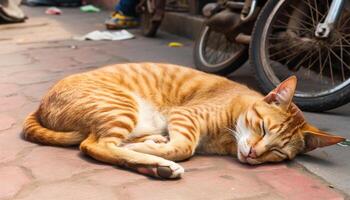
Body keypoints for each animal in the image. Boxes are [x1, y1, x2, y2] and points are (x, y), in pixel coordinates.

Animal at [23, 62, 346, 178]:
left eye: (278, 152)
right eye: (263, 128)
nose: (254, 154)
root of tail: (41, 105)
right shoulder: (184, 116)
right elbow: (184, 147)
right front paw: (157, 151)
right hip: (121, 108)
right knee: (95, 145)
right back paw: (155, 162)